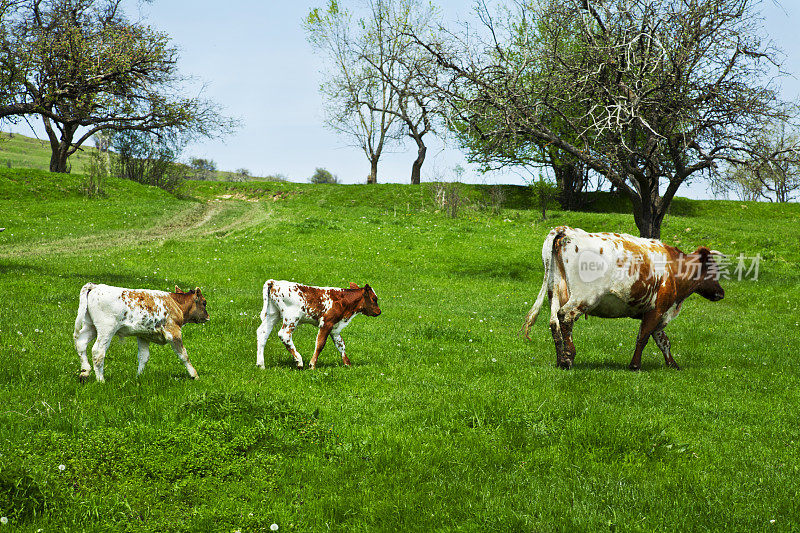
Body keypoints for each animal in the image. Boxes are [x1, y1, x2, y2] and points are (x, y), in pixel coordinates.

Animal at [74, 280, 209, 380]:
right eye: (204, 302)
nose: (208, 317)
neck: (176, 304)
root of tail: (95, 286)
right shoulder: (173, 332)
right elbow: (183, 355)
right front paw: (194, 375)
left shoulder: (143, 335)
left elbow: (143, 357)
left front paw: (139, 376)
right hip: (106, 330)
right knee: (98, 352)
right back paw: (101, 380)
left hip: (90, 326)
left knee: (81, 343)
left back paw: (84, 372)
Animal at [524, 228, 724, 370]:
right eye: (713, 270)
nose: (721, 293)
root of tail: (568, 231)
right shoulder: (657, 310)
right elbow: (643, 337)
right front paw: (635, 365)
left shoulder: (658, 313)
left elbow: (663, 341)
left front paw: (673, 365)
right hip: (583, 297)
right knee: (565, 317)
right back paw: (568, 358)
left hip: (556, 291)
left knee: (554, 323)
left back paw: (560, 360)